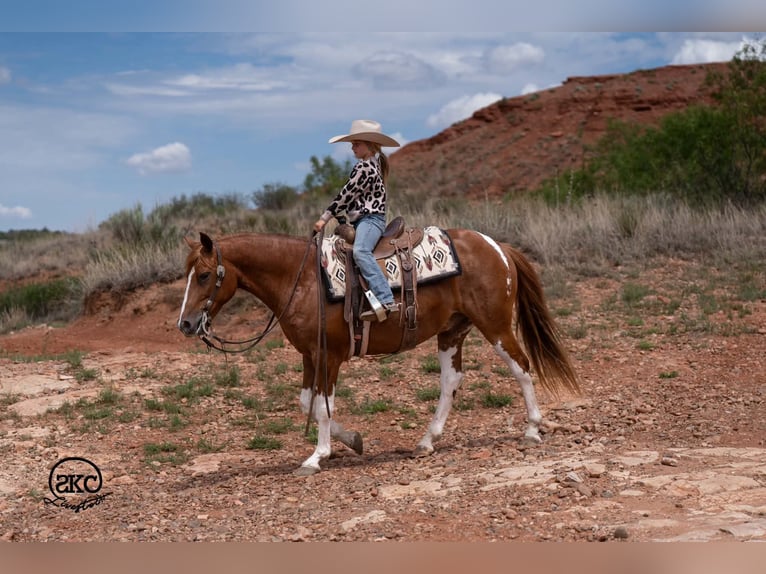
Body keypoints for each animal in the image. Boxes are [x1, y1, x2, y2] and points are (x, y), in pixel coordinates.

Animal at [177, 228, 580, 476]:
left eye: (203, 275)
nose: (186, 324)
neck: (301, 278)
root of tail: (498, 247)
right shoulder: (310, 355)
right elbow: (308, 401)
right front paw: (353, 441)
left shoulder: (328, 356)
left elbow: (323, 406)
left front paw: (317, 457)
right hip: (452, 331)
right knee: (451, 381)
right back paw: (427, 441)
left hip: (495, 326)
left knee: (521, 366)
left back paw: (532, 429)